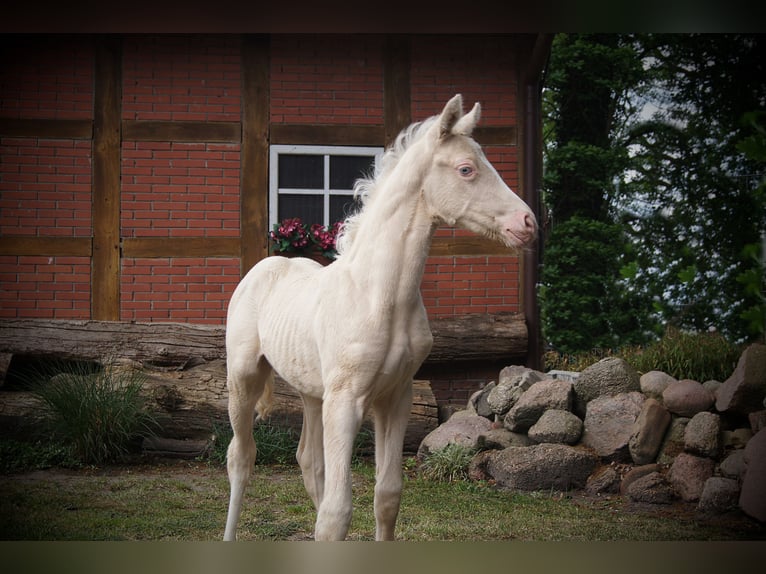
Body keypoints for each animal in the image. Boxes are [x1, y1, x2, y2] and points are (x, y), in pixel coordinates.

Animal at [220, 94, 540, 544]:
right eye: (466, 169)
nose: (527, 223)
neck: (378, 296)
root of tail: (264, 267)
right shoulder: (346, 401)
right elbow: (336, 513)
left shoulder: (395, 398)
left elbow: (386, 496)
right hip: (244, 376)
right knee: (241, 457)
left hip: (312, 392)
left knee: (308, 460)